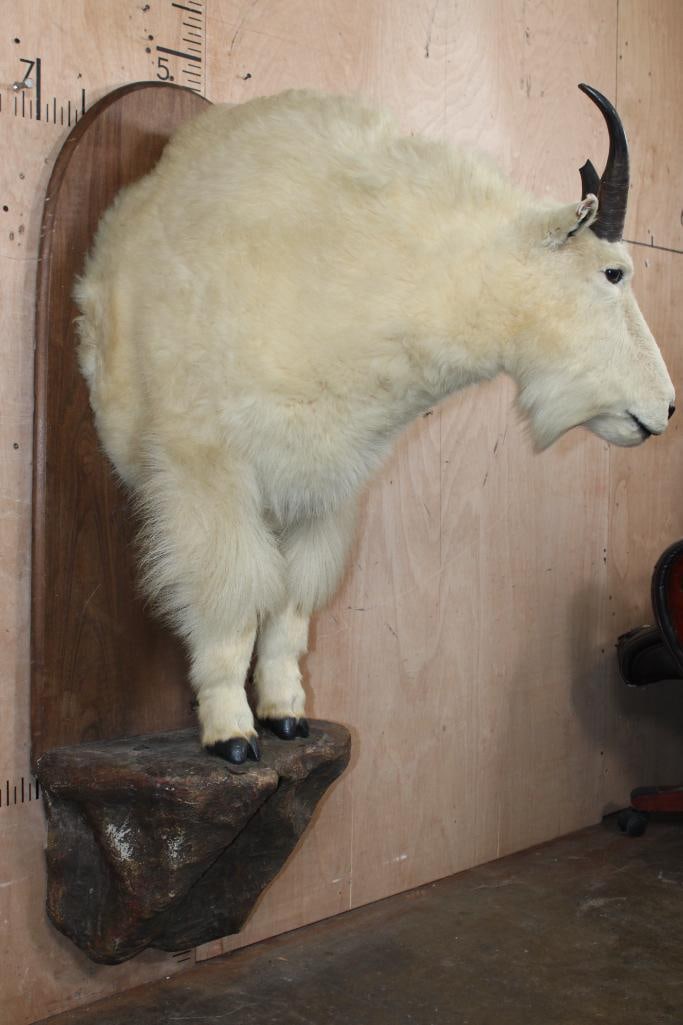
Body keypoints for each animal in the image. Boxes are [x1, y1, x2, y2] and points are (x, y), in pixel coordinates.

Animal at [75, 84, 675, 763]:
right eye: (613, 272)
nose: (664, 409)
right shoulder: (210, 475)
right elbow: (232, 606)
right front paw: (231, 733)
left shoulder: (320, 492)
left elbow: (290, 607)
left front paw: (286, 715)